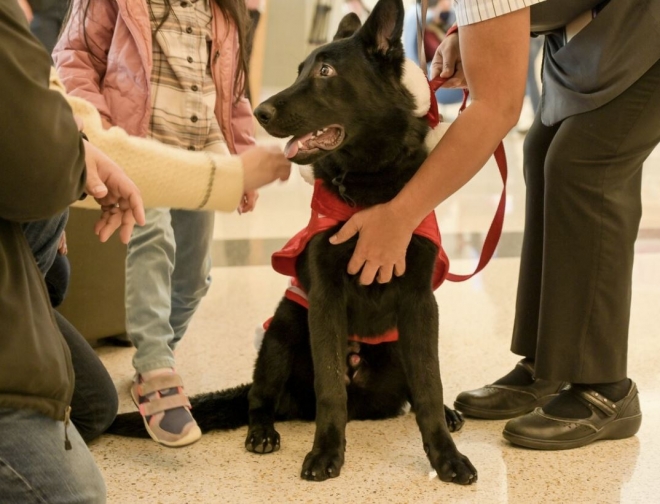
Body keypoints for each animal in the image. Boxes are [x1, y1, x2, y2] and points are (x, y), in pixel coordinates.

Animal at [109, 0, 480, 484]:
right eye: (300, 69)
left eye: (325, 71)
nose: (260, 111)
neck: (368, 187)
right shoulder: (323, 299)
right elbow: (330, 389)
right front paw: (326, 452)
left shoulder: (420, 304)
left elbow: (430, 387)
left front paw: (446, 456)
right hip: (283, 327)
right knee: (260, 397)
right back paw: (263, 432)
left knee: (412, 393)